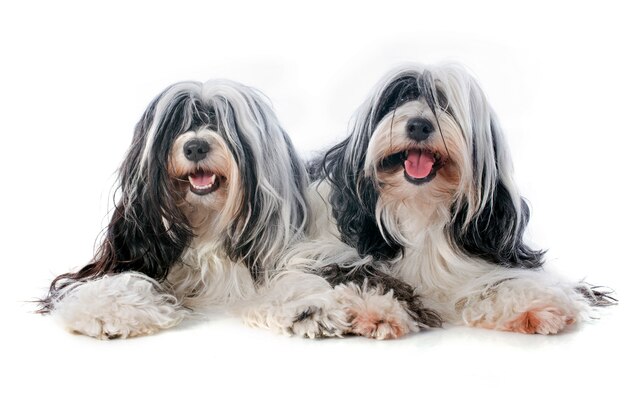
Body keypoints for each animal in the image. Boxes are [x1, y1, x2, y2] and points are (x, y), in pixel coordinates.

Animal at [37, 79, 312, 336]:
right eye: (175, 126)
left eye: (221, 123)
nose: (195, 147)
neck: (205, 219)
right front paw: (107, 311)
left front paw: (301, 306)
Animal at [298, 63, 616, 336]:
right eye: (397, 99)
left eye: (445, 105)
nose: (418, 125)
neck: (420, 207)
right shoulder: (331, 252)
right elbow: (362, 274)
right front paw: (375, 308)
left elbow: (506, 278)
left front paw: (534, 303)